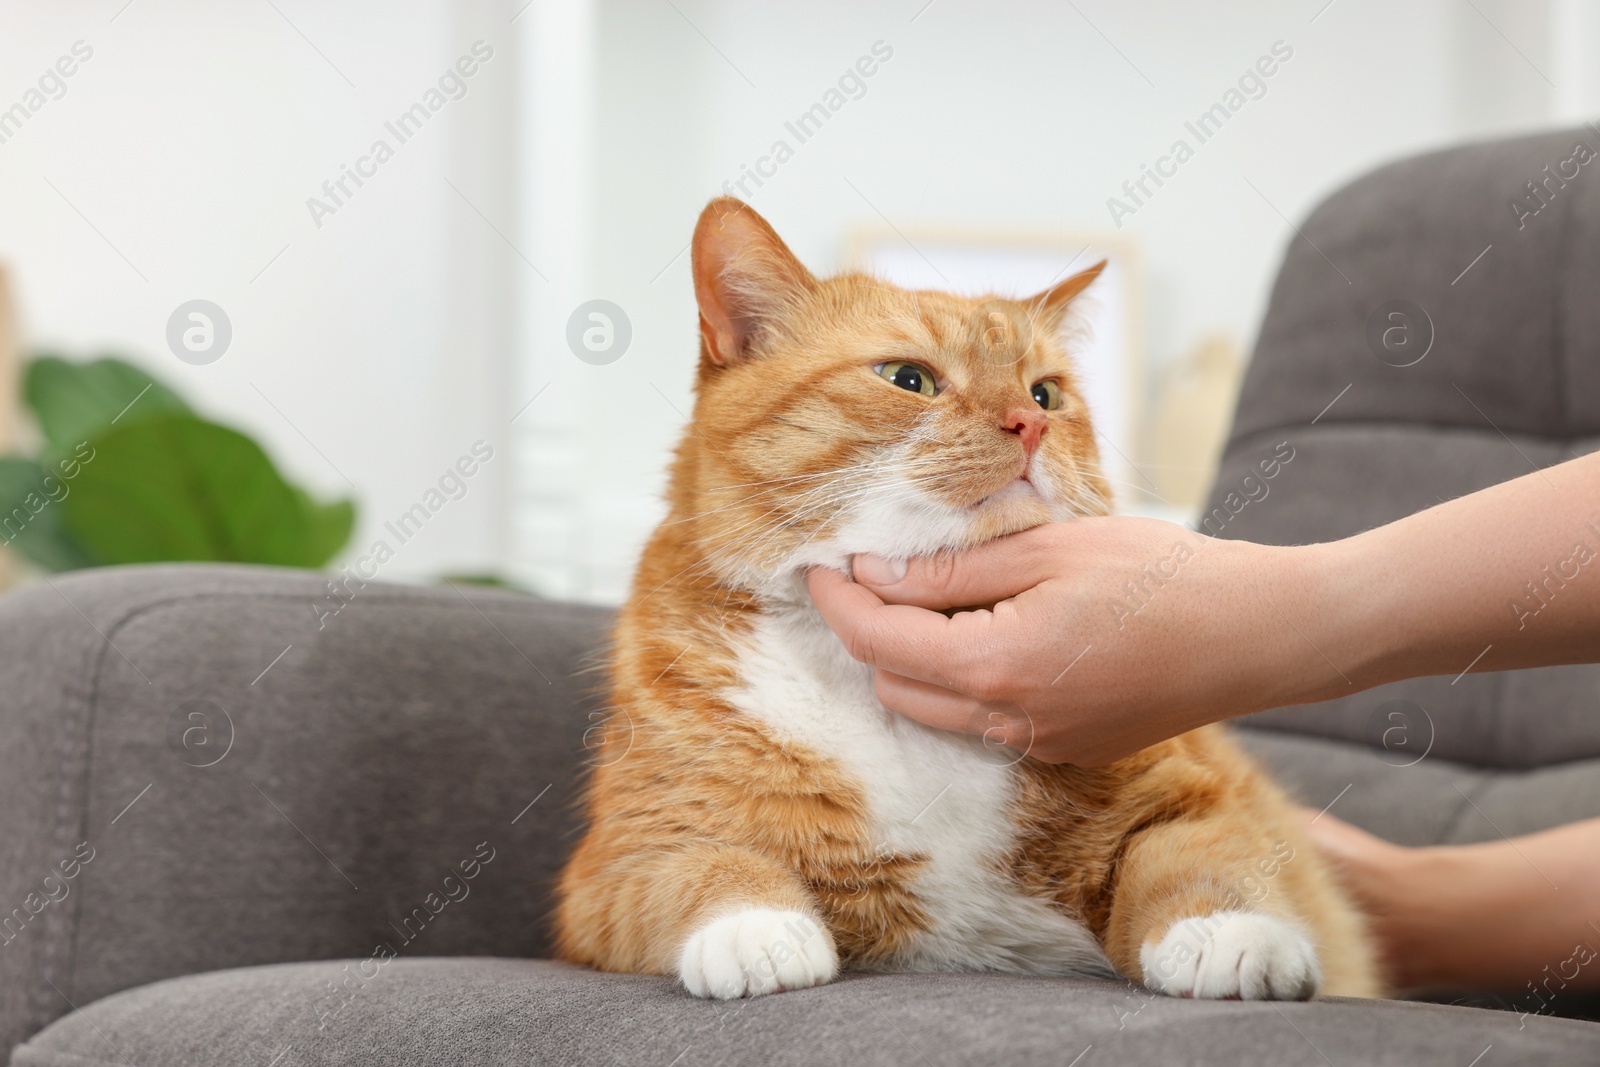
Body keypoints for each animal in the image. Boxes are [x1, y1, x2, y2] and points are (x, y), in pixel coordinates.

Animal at [553, 198, 1376, 1004]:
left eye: (1046, 393)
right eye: (908, 379)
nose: (1031, 422)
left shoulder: (1190, 799)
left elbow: (1198, 855)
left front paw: (1224, 934)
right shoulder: (614, 863)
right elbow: (698, 866)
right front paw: (757, 930)